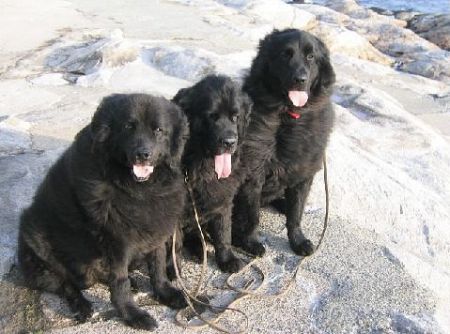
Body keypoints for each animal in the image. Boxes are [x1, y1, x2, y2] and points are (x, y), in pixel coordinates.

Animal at [17, 93, 189, 328]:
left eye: (158, 130)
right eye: (128, 127)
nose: (142, 154)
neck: (138, 189)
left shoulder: (157, 228)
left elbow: (158, 265)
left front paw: (165, 293)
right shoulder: (116, 239)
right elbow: (119, 281)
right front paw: (132, 314)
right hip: (38, 244)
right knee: (66, 284)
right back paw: (83, 307)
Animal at [172, 74, 251, 272]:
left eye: (235, 117)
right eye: (211, 117)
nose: (229, 142)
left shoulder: (223, 200)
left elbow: (224, 233)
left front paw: (227, 259)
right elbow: (175, 245)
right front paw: (173, 272)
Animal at [232, 29, 334, 256]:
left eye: (311, 57)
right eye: (284, 55)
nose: (300, 79)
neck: (287, 116)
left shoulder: (304, 173)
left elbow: (296, 214)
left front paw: (298, 241)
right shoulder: (253, 172)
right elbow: (251, 215)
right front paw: (250, 242)